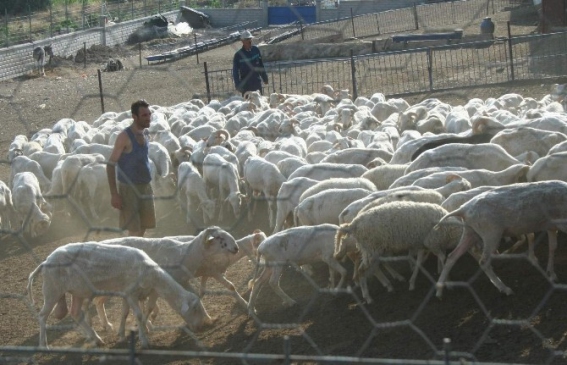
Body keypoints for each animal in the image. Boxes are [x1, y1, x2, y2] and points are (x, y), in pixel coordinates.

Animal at [438, 179, 567, 296]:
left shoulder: (552, 226)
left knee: (452, 256)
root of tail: (463, 209)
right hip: (491, 233)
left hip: (470, 231)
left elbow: (553, 247)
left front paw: (551, 273)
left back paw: (440, 289)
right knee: (483, 261)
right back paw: (504, 288)